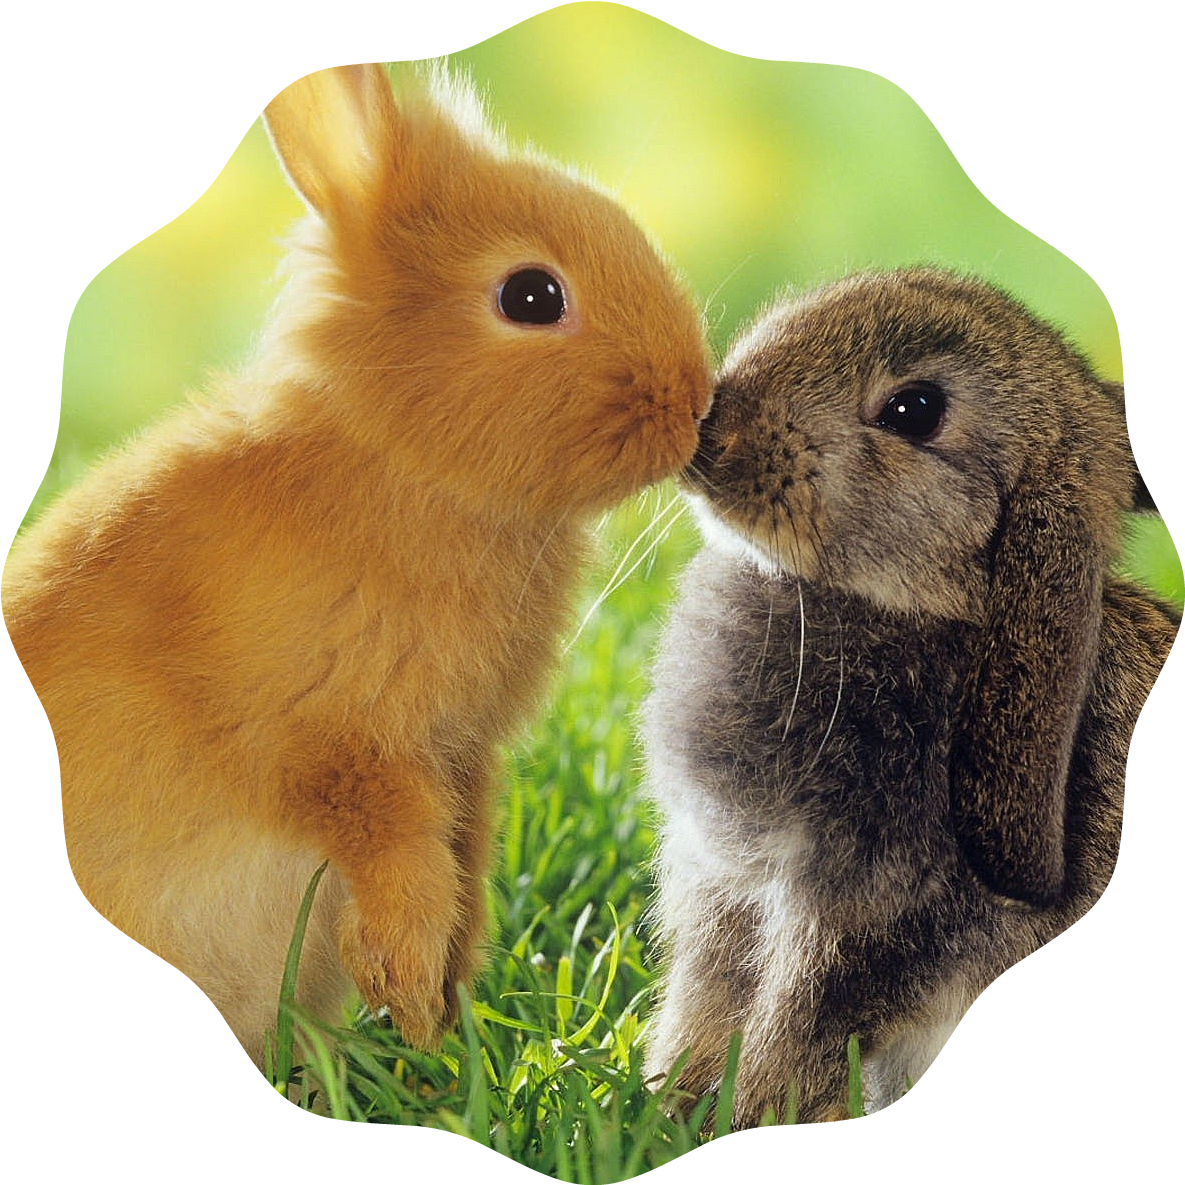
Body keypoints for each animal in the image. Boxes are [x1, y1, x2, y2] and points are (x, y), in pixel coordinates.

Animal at [2, 62, 710, 1069]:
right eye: (532, 296)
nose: (695, 400)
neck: (401, 464)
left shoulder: (462, 759)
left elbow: (462, 863)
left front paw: (440, 1017)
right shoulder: (333, 747)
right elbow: (396, 853)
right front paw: (408, 994)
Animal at [640, 267, 1178, 1125]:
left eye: (913, 410)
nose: (711, 433)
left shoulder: (863, 925)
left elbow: (793, 1036)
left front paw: (743, 1116)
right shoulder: (725, 893)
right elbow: (705, 1011)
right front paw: (662, 1111)